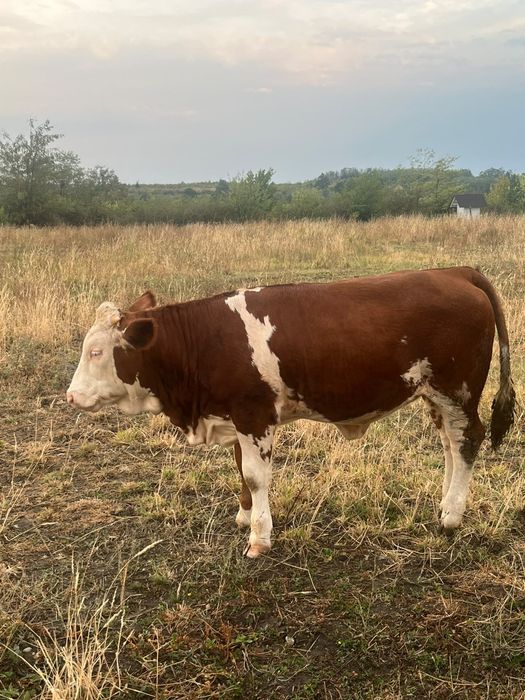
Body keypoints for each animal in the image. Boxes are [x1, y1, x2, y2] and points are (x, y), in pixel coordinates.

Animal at [66, 267, 515, 557]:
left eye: (97, 351)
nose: (70, 396)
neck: (205, 340)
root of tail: (455, 272)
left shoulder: (254, 414)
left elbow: (255, 475)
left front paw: (259, 538)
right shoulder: (237, 416)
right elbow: (239, 466)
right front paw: (245, 516)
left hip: (457, 391)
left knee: (467, 440)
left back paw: (451, 516)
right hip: (435, 395)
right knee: (450, 445)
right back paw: (444, 504)